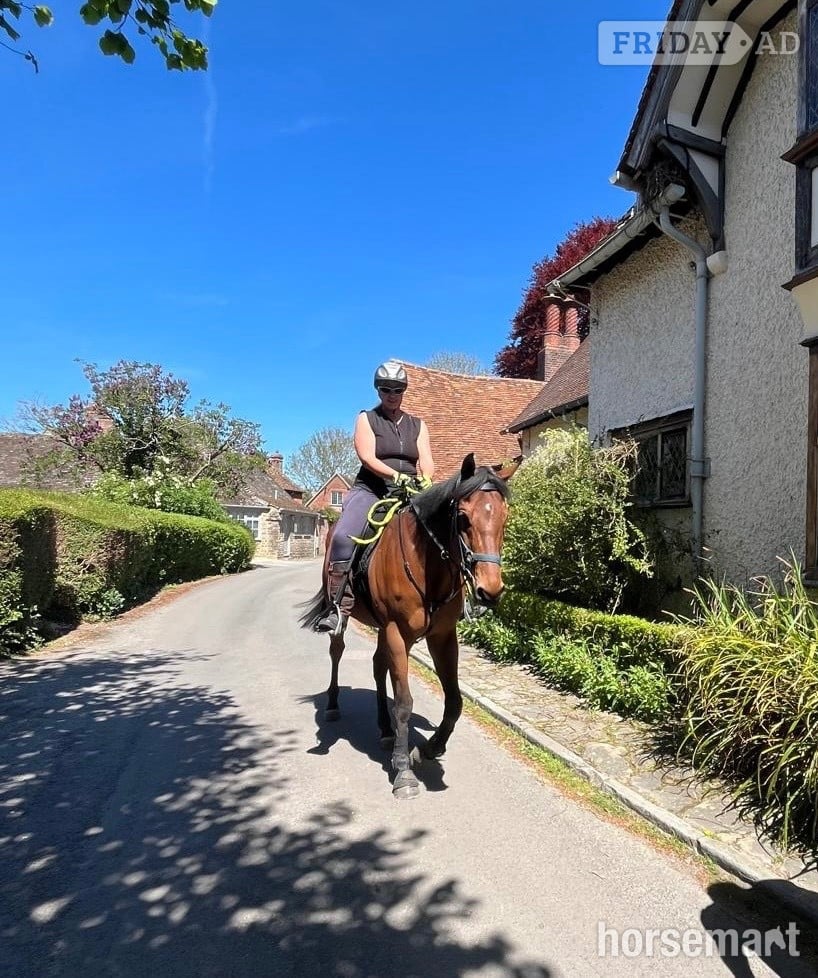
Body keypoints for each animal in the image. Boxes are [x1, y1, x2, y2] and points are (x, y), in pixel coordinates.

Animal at [299, 452, 519, 799]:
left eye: (504, 517)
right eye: (463, 518)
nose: (491, 590)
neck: (427, 566)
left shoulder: (442, 637)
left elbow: (454, 701)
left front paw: (428, 748)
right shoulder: (396, 632)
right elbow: (403, 702)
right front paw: (403, 769)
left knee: (378, 667)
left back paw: (385, 729)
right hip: (348, 619)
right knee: (337, 652)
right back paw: (334, 704)